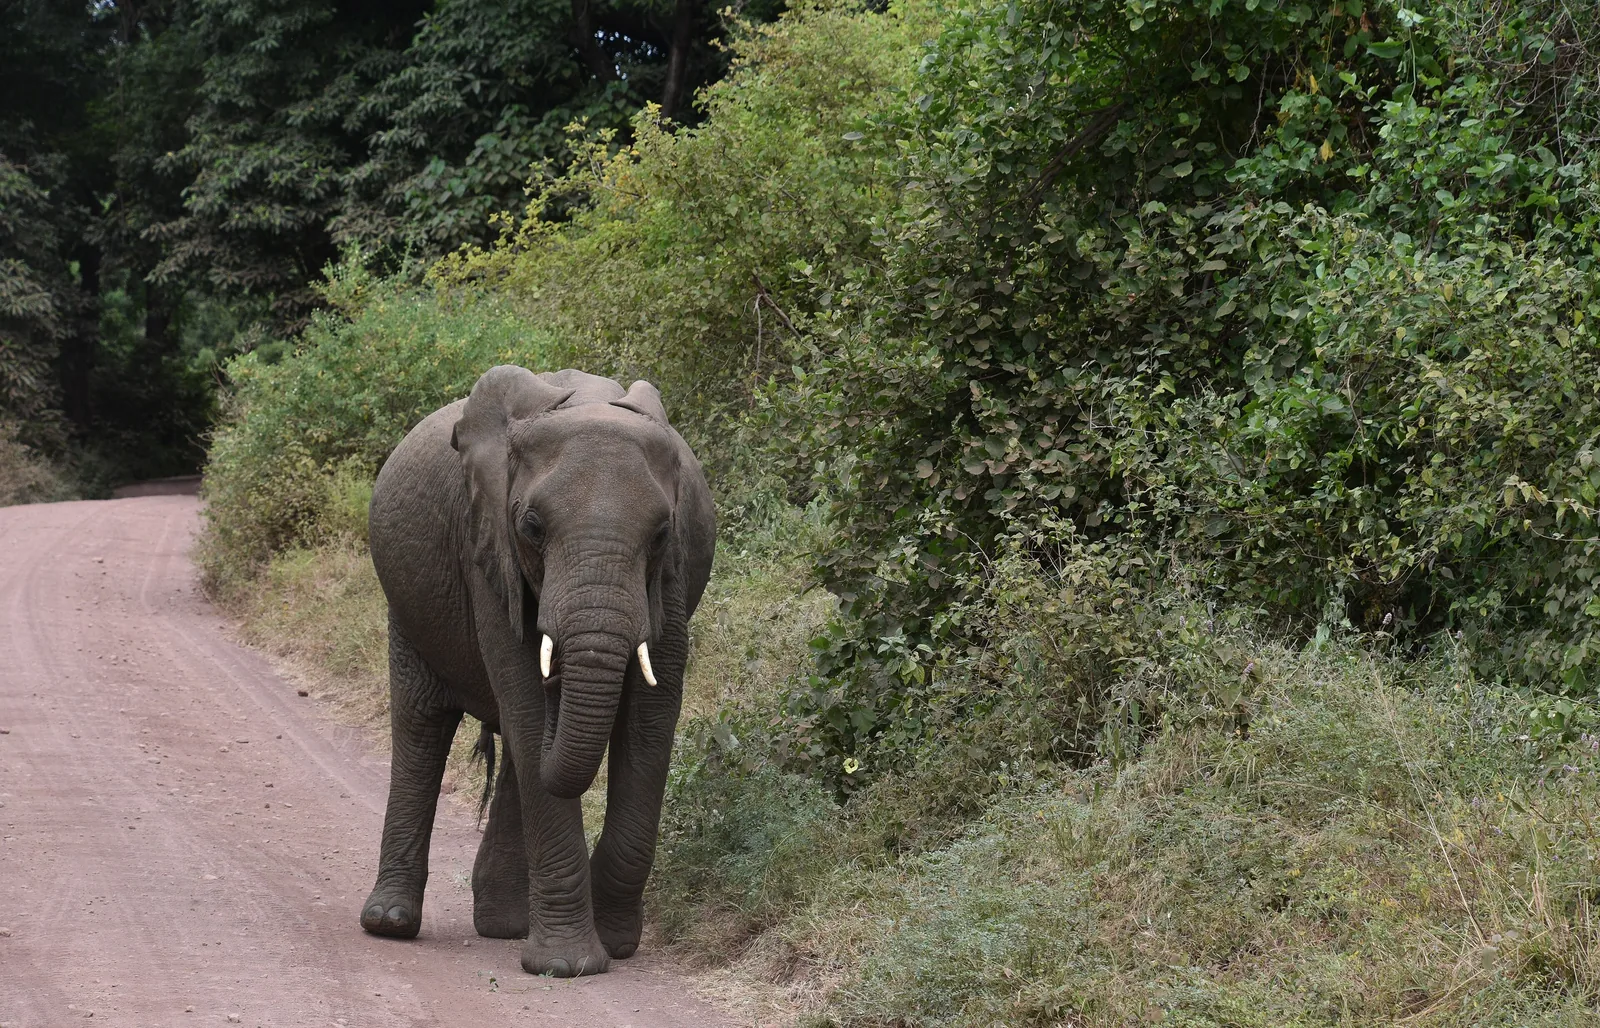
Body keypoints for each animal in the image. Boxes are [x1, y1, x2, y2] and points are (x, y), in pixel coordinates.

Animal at [358, 365, 715, 977]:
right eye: (532, 527)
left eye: (662, 535)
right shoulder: (485, 548)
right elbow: (525, 702)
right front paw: (568, 967)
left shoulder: (673, 573)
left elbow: (651, 717)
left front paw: (614, 943)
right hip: (407, 608)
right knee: (423, 725)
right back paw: (389, 922)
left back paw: (503, 925)